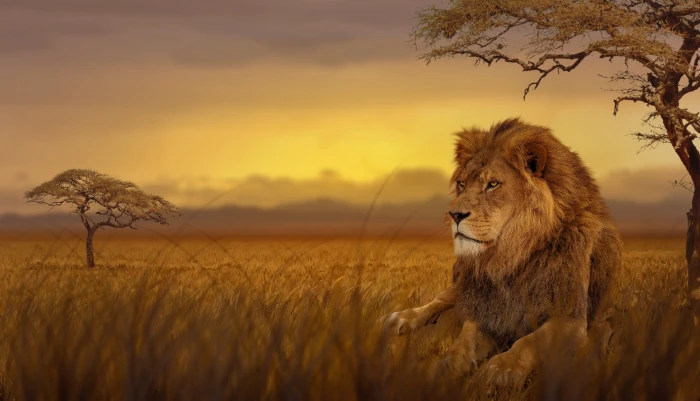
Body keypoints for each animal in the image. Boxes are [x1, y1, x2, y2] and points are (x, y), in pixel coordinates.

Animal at [380, 117, 621, 385]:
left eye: (492, 184)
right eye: (462, 184)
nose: (454, 215)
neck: (511, 256)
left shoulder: (571, 318)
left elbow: (529, 341)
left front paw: (502, 368)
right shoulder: (485, 307)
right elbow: (463, 341)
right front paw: (447, 365)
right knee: (441, 299)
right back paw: (400, 319)